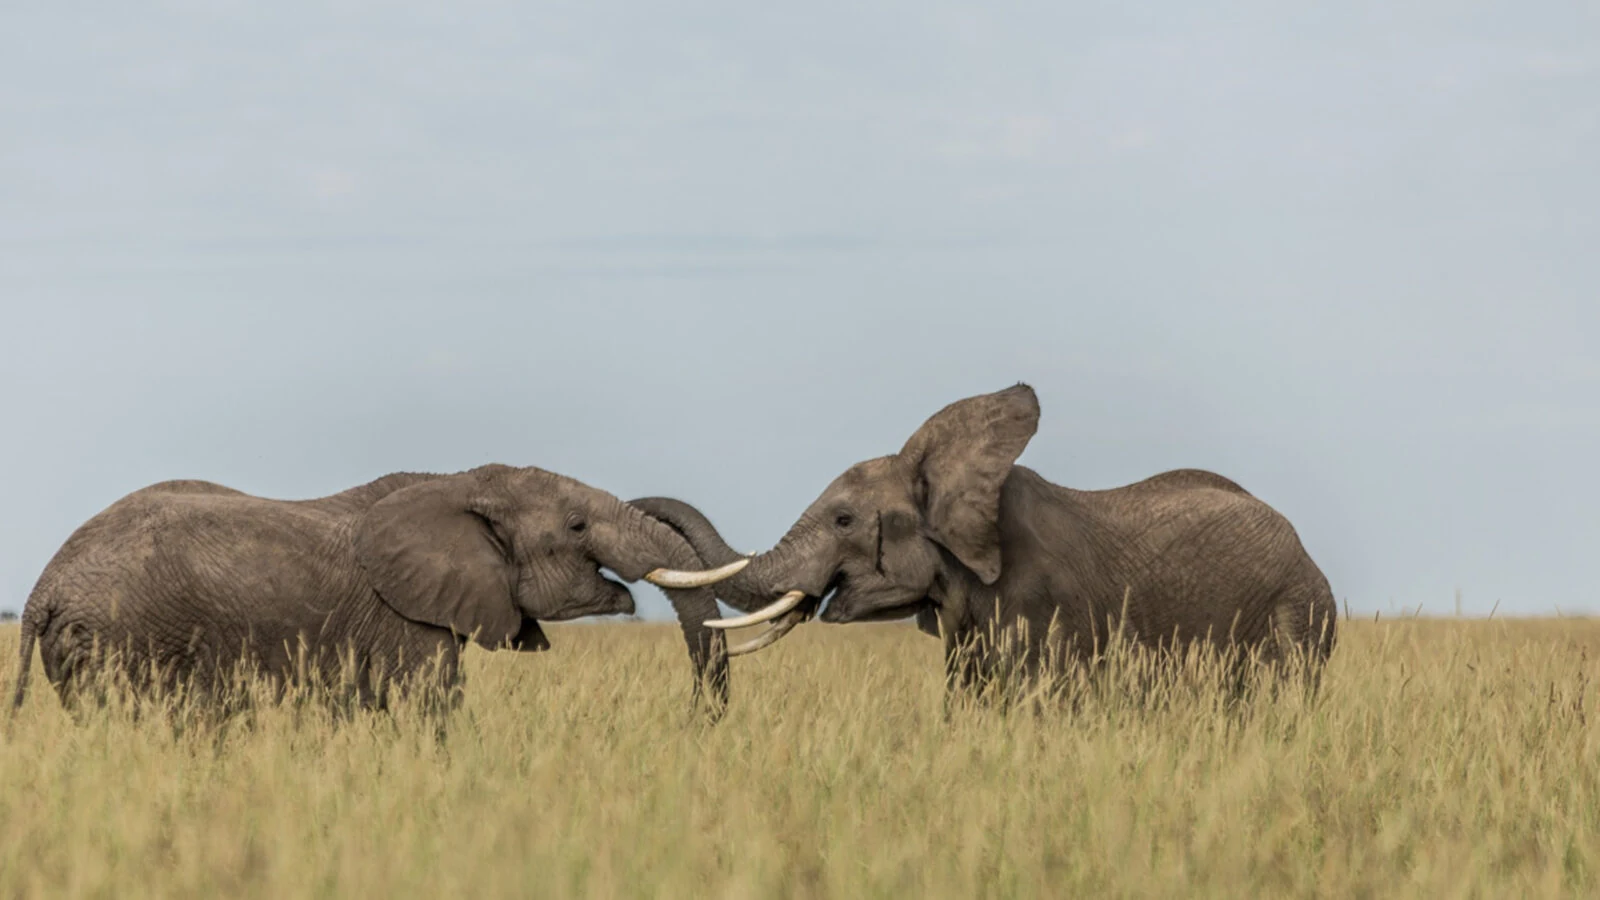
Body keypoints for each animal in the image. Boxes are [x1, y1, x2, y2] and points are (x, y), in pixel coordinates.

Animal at [10, 464, 747, 716]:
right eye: (575, 526)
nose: (694, 723)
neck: (460, 481)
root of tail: (46, 584)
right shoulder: (402, 618)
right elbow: (430, 707)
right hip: (119, 638)